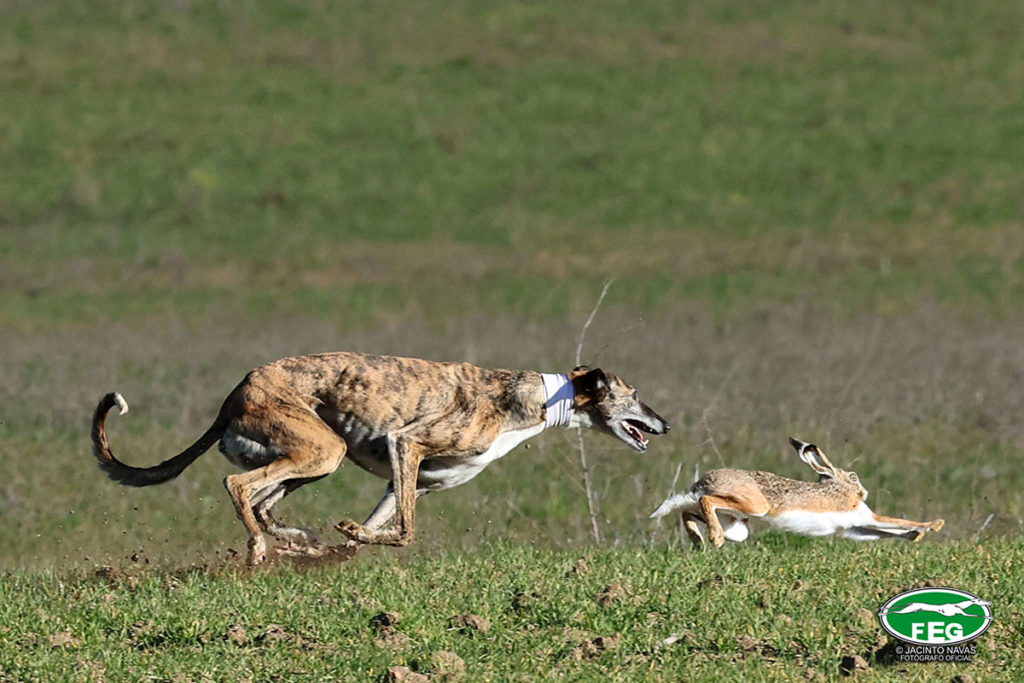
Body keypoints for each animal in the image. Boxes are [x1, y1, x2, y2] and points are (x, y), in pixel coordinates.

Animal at [90, 352, 671, 565]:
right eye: (635, 394)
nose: (665, 425)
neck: (530, 399)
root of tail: (235, 392)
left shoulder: (409, 478)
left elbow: (383, 526)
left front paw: (347, 539)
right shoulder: (407, 446)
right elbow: (406, 532)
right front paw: (349, 534)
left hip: (309, 457)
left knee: (264, 502)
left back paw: (296, 541)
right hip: (323, 449)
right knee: (241, 491)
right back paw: (260, 549)